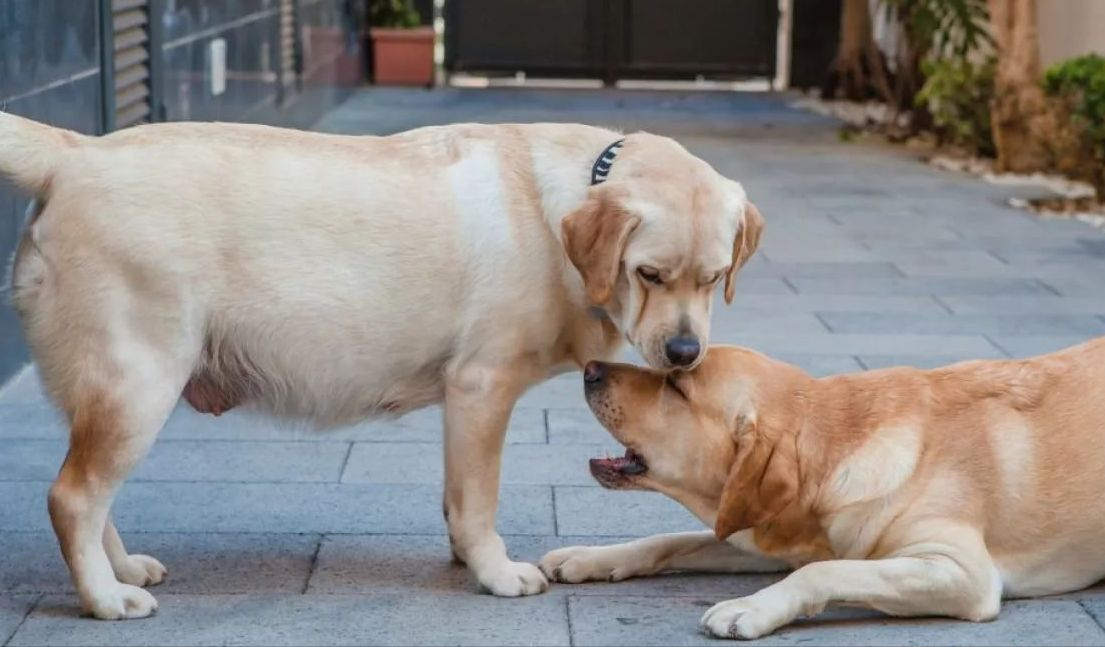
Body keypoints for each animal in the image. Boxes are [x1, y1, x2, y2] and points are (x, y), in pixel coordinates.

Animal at [0, 113, 764, 618]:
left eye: (714, 277)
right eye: (649, 274)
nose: (685, 353)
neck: (563, 211)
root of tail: (77, 153)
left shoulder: (464, 405)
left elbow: (457, 495)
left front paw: (464, 556)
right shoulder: (481, 386)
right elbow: (479, 498)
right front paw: (494, 570)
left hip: (112, 393)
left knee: (91, 493)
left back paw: (121, 567)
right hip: (140, 381)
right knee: (72, 496)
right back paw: (105, 597)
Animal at [539, 340, 1105, 635]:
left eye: (677, 385)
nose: (590, 366)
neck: (838, 446)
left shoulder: (961, 571)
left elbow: (822, 571)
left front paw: (751, 607)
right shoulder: (766, 529)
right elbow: (669, 541)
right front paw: (593, 558)